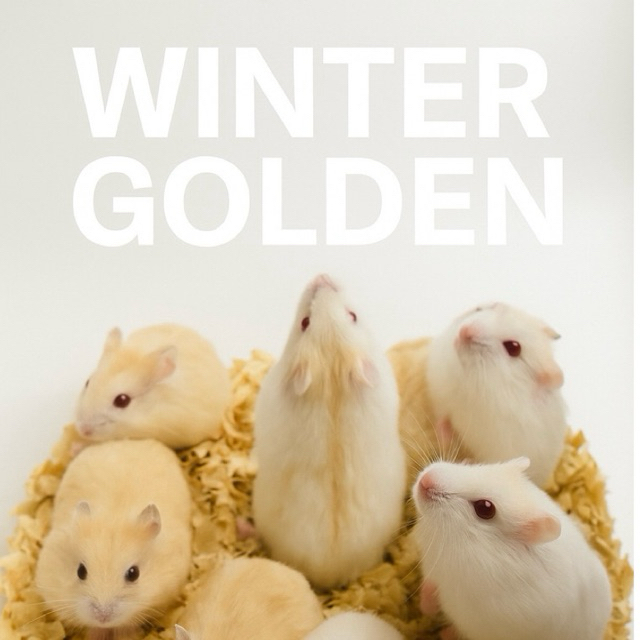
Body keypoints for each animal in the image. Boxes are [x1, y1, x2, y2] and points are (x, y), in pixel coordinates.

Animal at [35, 439, 193, 638]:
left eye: (134, 574)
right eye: (80, 571)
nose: (102, 616)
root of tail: (128, 441)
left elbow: (127, 624)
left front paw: (126, 635)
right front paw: (96, 635)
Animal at [411, 457, 612, 640]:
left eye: (485, 508)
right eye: (475, 466)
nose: (425, 480)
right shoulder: (435, 571)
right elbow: (429, 594)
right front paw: (425, 596)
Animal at [426, 302, 567, 486]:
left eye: (513, 347)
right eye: (484, 309)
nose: (464, 330)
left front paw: (468, 460)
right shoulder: (443, 396)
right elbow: (444, 420)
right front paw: (443, 428)